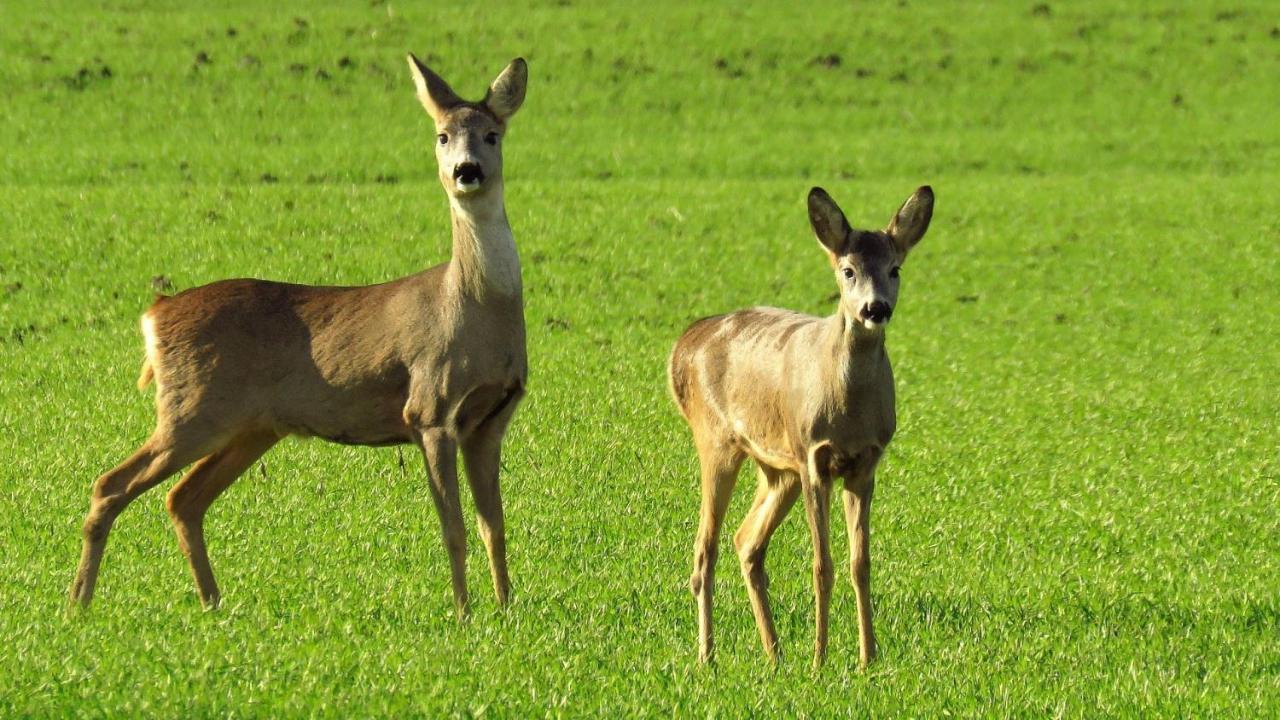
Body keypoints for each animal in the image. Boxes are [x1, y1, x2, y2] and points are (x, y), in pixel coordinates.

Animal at [68, 56, 529, 620]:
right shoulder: (429, 407)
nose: (467, 170)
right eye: (442, 135)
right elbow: (454, 528)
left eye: (492, 134)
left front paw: (506, 610)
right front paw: (464, 615)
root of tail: (155, 314)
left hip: (251, 427)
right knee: (110, 484)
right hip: (191, 409)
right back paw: (79, 604)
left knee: (183, 498)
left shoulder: (491, 419)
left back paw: (212, 603)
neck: (475, 310)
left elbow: (495, 527)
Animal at [670, 181, 931, 666]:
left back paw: (774, 654)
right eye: (848, 271)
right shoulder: (813, 456)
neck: (848, 410)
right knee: (704, 550)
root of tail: (684, 345)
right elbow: (821, 564)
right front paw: (821, 659)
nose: (875, 308)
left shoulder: (866, 462)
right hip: (717, 440)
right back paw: (707, 657)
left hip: (776, 467)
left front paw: (868, 659)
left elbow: (860, 563)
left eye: (895, 269)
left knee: (747, 542)